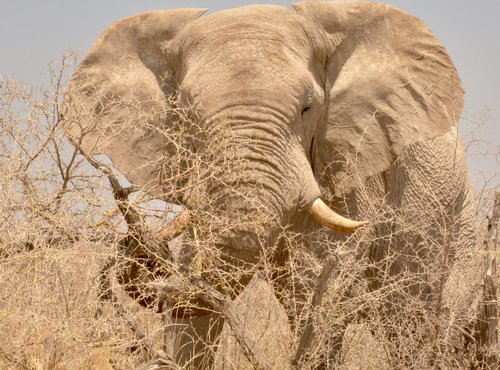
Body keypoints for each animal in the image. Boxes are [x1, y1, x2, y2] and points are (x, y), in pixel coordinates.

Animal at [61, 1, 484, 368]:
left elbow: (317, 285)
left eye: (308, 108)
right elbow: (197, 303)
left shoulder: (345, 164)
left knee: (410, 320)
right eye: (186, 113)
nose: (138, 259)